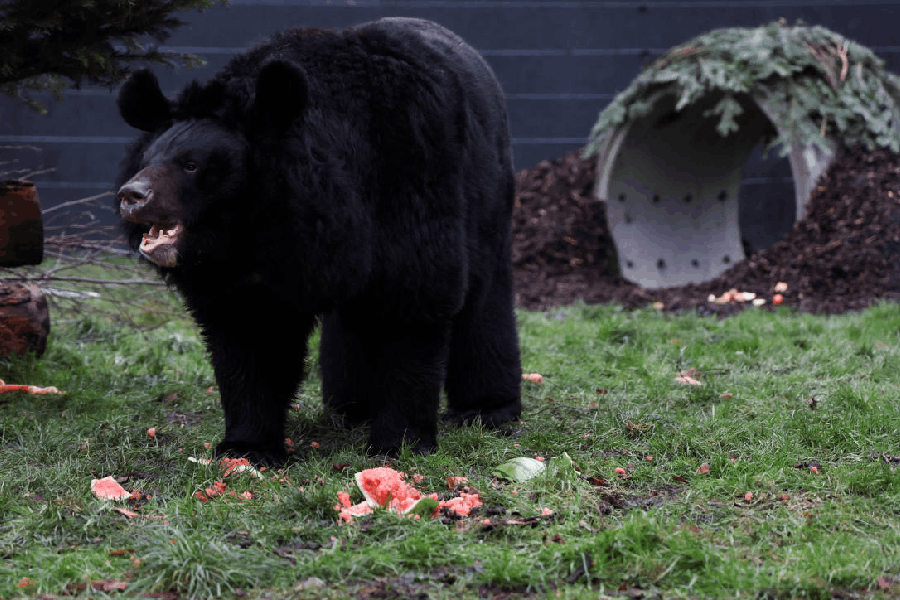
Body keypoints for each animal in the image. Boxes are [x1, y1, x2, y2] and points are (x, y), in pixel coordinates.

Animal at [114, 17, 522, 465]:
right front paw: (248, 447)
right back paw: (351, 406)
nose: (131, 195)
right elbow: (251, 335)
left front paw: (399, 443)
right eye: (148, 159)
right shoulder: (252, 270)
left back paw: (485, 409)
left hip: (487, 195)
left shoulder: (408, 184)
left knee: (483, 298)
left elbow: (415, 302)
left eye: (191, 165)